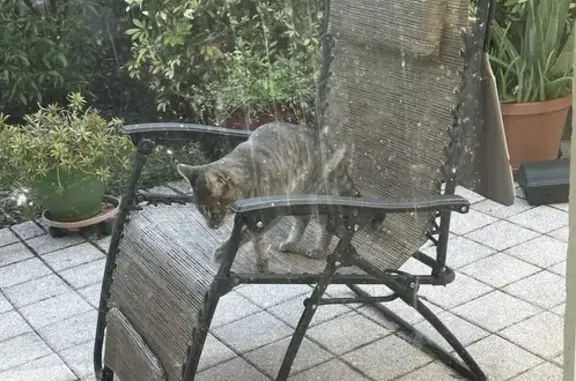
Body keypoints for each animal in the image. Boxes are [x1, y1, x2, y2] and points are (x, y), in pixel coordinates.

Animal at [178, 120, 362, 272]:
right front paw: (260, 261)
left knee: (328, 223)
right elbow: (255, 238)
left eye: (211, 209)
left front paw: (225, 253)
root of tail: (322, 141)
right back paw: (290, 243)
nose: (210, 226)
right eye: (201, 211)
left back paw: (320, 250)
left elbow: (250, 235)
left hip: (314, 196)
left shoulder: (272, 215)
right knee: (303, 220)